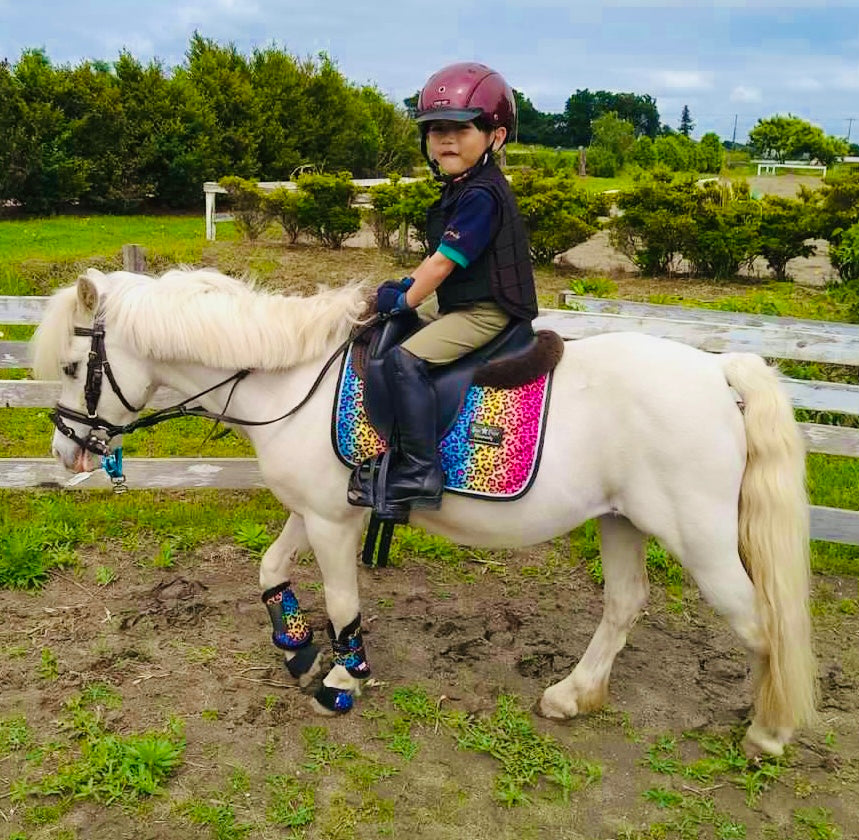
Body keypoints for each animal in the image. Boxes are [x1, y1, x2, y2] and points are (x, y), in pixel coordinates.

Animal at [32, 267, 817, 756]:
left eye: (73, 367)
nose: (65, 449)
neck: (290, 378)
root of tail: (716, 370)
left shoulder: (334, 523)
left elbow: (343, 602)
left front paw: (344, 677)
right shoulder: (314, 508)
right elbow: (268, 569)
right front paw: (295, 642)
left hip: (699, 539)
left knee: (761, 624)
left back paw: (768, 730)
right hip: (621, 520)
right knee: (625, 604)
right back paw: (572, 696)